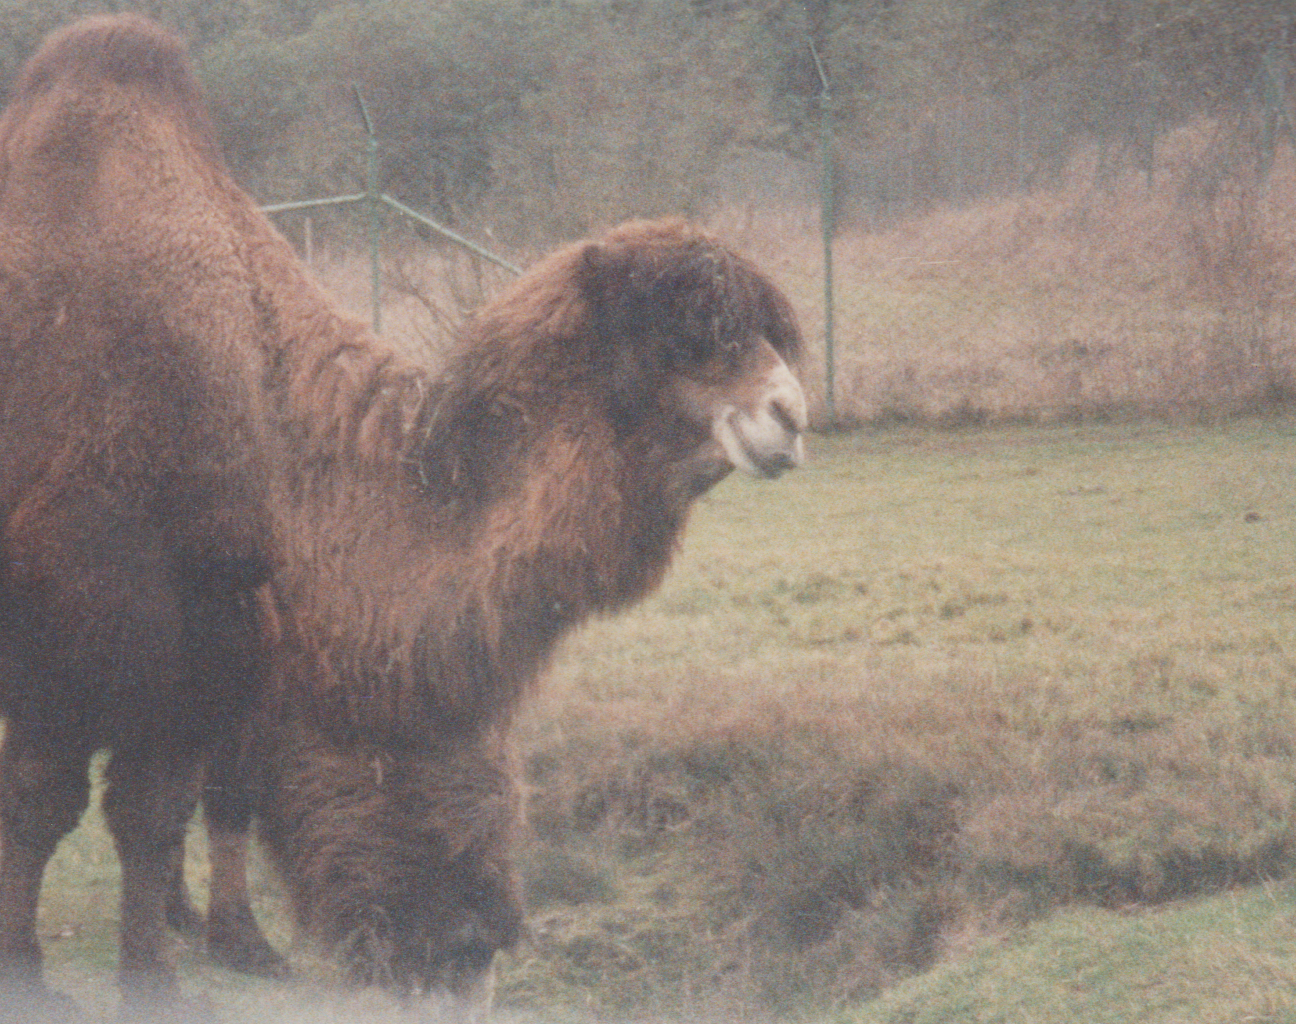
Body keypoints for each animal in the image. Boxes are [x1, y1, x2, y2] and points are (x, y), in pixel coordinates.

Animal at [0, 10, 808, 1024]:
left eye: (771, 331)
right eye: (687, 333)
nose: (789, 414)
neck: (261, 416)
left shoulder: (215, 646)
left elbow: (172, 808)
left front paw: (206, 958)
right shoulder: (83, 630)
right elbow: (52, 804)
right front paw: (45, 973)